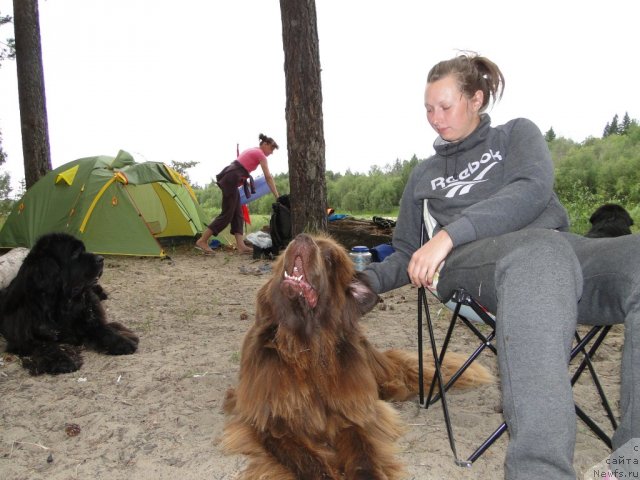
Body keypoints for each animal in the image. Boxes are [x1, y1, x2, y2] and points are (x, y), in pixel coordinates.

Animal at [0, 232, 139, 376]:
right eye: (75, 253)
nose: (101, 259)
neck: (62, 303)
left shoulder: (89, 319)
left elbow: (103, 329)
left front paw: (122, 342)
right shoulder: (26, 339)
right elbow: (47, 346)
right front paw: (62, 361)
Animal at [221, 232, 490, 476]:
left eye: (329, 258)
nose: (301, 237)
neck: (307, 347)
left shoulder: (350, 413)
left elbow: (362, 452)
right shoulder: (272, 424)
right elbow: (308, 462)